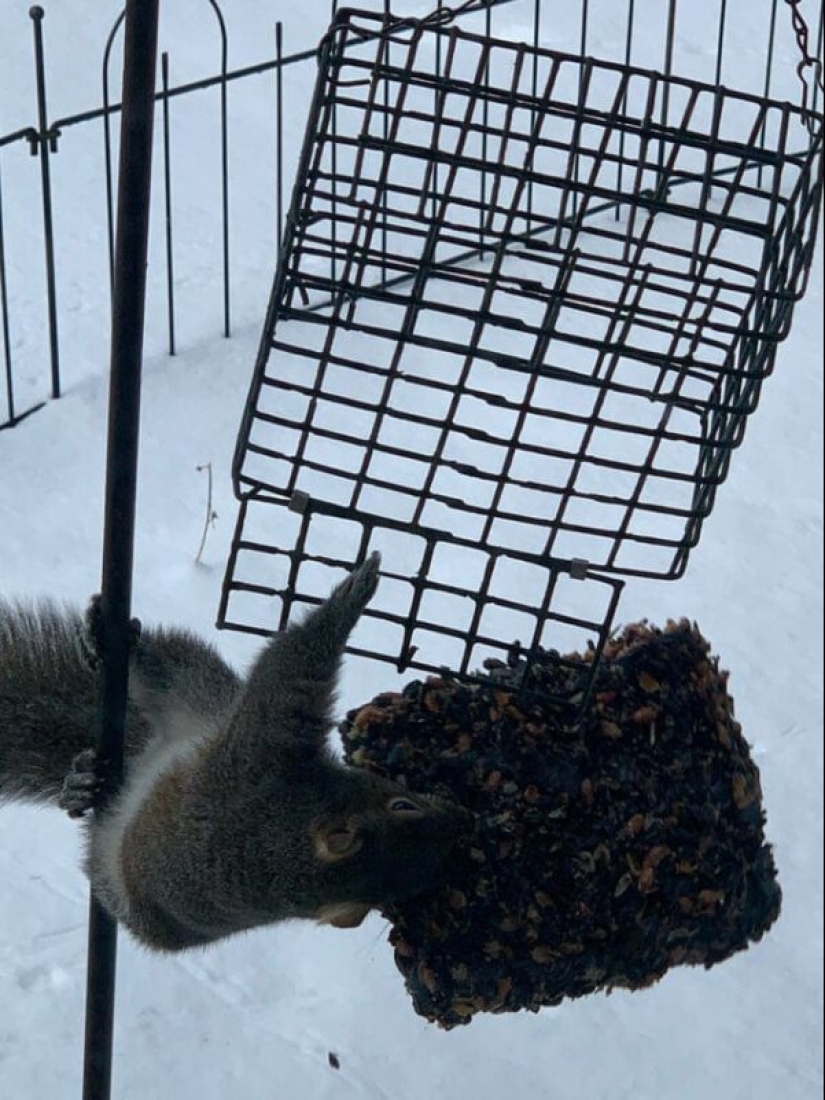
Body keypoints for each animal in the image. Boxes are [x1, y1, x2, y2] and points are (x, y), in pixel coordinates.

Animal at [0, 554, 468, 950]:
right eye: (403, 803)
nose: (459, 817)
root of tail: (145, 750)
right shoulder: (261, 754)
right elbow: (290, 665)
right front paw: (356, 589)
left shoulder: (257, 755)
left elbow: (288, 666)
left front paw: (352, 592)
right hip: (203, 685)